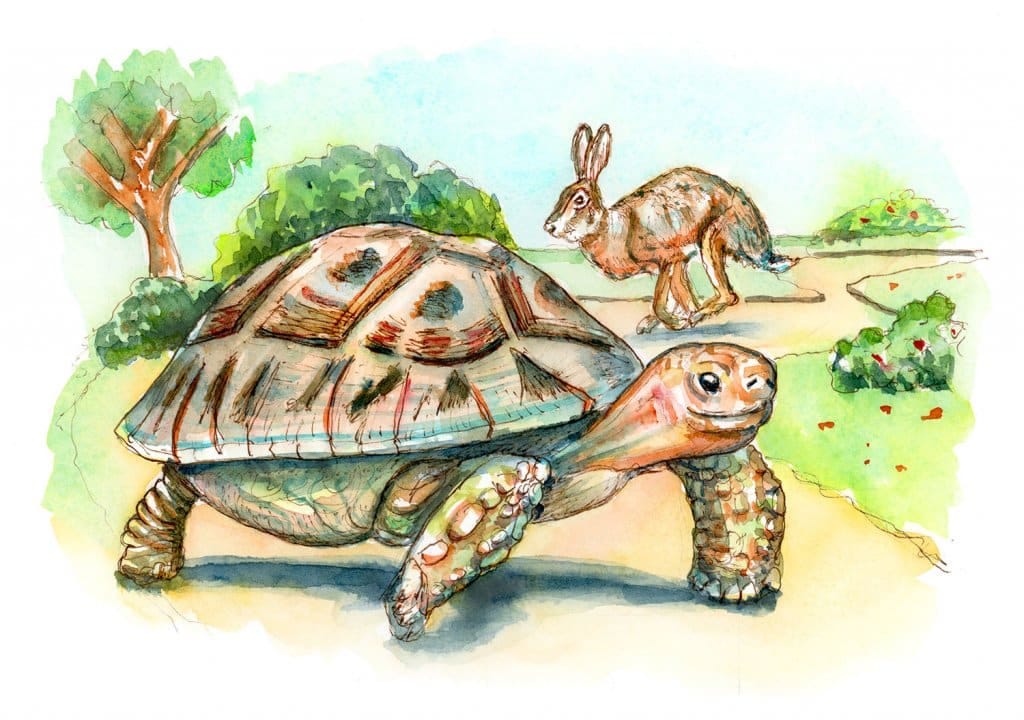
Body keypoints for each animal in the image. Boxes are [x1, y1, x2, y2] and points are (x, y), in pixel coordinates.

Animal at [544, 123, 797, 334]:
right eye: (561, 195)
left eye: (579, 200)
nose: (549, 226)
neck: (610, 228)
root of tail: (760, 244)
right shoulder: (678, 262)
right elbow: (680, 294)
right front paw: (673, 320)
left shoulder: (668, 258)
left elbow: (659, 300)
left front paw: (677, 322)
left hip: (712, 238)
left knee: (728, 295)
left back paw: (697, 316)